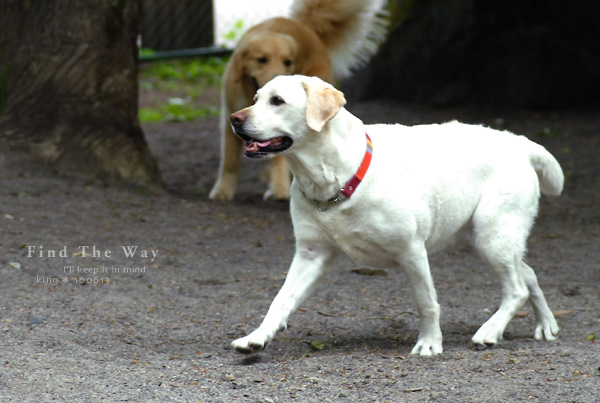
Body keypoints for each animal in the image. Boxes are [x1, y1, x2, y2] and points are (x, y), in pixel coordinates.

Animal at [229, 74, 564, 356]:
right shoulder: (311, 253)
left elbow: (426, 303)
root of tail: (518, 141)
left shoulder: (412, 250)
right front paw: (257, 336)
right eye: (256, 97)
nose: (234, 119)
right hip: (492, 238)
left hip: (492, 236)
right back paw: (546, 325)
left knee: (517, 289)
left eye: (277, 101)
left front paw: (429, 343)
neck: (337, 177)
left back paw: (490, 331)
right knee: (528, 275)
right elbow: (280, 300)